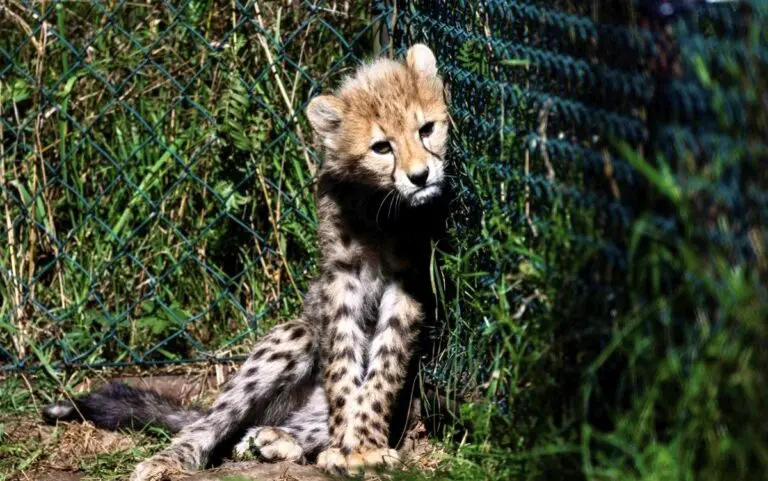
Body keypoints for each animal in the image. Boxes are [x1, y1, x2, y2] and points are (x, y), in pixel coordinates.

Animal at [42, 43, 449, 480]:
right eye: (381, 147)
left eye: (426, 129)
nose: (420, 176)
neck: (379, 206)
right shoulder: (341, 278)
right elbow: (342, 369)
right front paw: (351, 446)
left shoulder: (406, 280)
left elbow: (383, 369)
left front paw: (364, 447)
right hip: (296, 334)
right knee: (214, 419)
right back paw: (170, 459)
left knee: (278, 427)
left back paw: (275, 439)